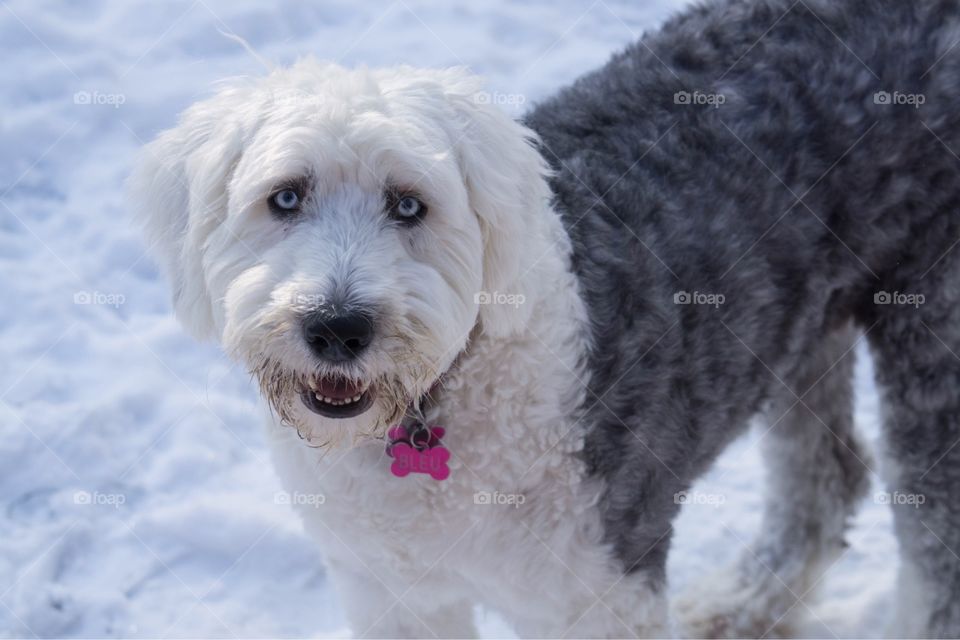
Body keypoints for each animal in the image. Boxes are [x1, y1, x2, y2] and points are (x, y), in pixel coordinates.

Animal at [133, 0, 960, 636]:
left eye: (409, 204)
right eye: (285, 197)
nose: (338, 327)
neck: (439, 395)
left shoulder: (601, 587)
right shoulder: (391, 588)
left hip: (934, 319)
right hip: (801, 318)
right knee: (827, 475)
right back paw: (745, 601)